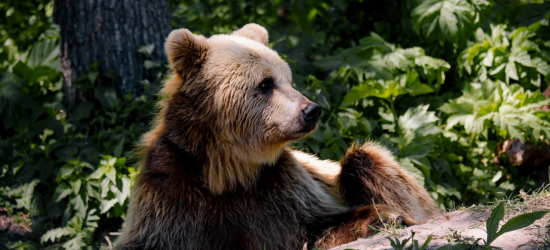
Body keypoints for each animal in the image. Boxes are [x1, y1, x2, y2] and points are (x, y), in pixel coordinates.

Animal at [115, 23, 440, 250]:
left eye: (288, 78)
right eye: (265, 83)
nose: (311, 110)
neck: (227, 170)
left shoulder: (278, 189)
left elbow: (318, 224)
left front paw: (387, 215)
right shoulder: (173, 188)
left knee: (364, 160)